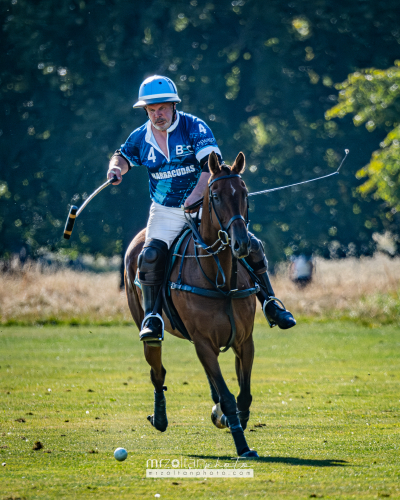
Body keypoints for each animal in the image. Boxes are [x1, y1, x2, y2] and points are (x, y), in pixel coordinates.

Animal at [126, 151, 260, 458]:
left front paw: (233, 420)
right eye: (216, 195)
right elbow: (228, 396)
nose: (241, 245)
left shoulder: (244, 340)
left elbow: (243, 394)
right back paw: (159, 418)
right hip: (146, 324)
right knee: (157, 370)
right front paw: (242, 445)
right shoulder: (203, 343)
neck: (222, 282)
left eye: (244, 192)